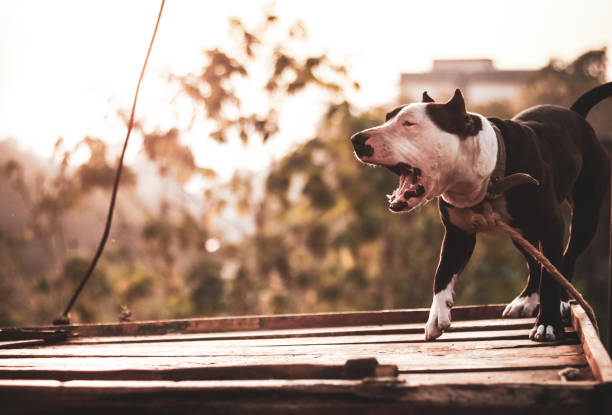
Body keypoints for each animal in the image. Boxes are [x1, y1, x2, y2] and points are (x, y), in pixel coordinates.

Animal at [350, 83, 612, 342]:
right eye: (387, 118)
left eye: (409, 124)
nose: (356, 139)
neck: (487, 176)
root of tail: (574, 113)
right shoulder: (457, 234)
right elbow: (442, 272)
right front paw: (437, 315)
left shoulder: (552, 226)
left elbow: (551, 275)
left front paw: (548, 323)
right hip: (522, 233)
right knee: (535, 262)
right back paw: (527, 299)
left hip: (584, 218)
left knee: (565, 260)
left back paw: (560, 301)